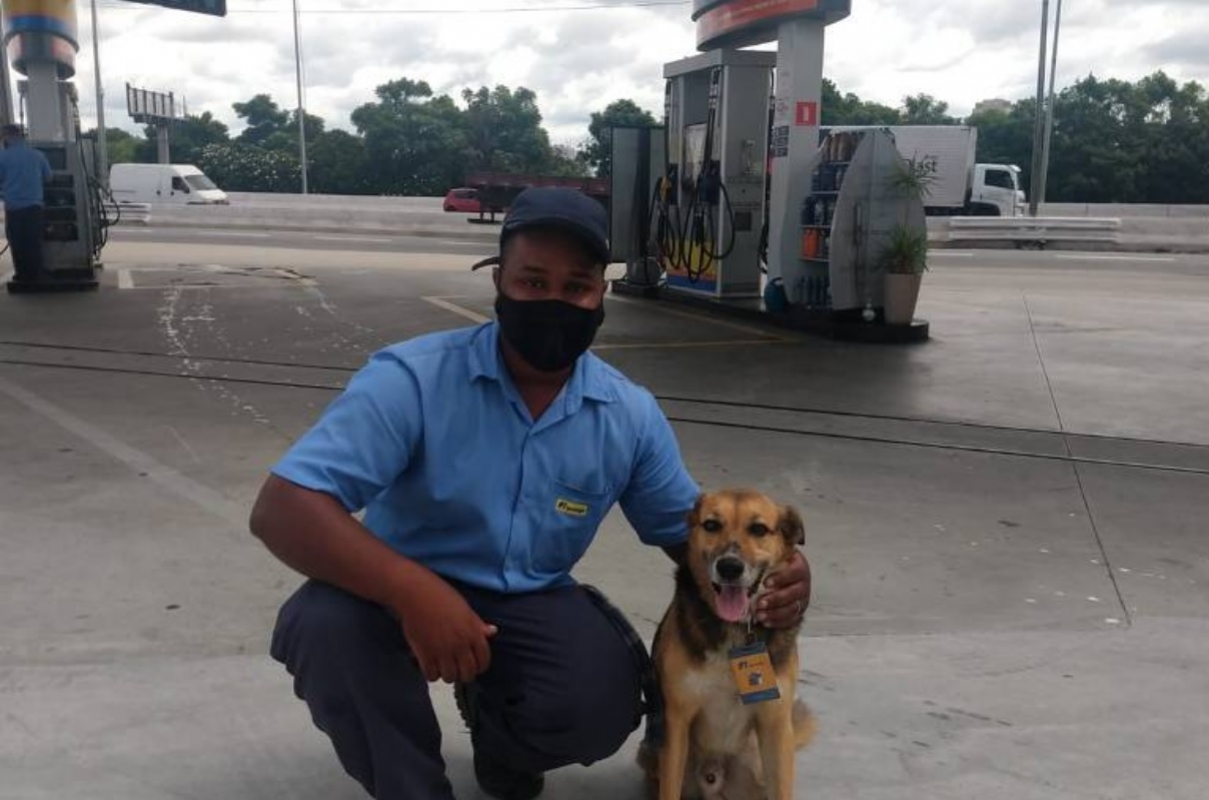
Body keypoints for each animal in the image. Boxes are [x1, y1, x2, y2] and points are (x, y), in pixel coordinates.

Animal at [643, 488, 812, 800]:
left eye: (758, 529)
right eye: (711, 525)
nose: (729, 567)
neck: (736, 631)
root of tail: (712, 776)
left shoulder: (775, 725)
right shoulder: (676, 722)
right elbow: (669, 789)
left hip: (755, 766)